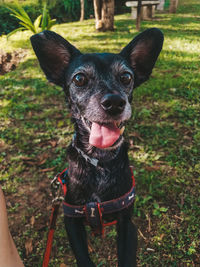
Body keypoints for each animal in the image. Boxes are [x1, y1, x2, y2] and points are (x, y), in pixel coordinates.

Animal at [30, 28, 163, 266]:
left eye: (126, 77)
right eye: (79, 79)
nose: (114, 102)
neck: (99, 162)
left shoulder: (127, 223)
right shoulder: (71, 222)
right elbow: (84, 258)